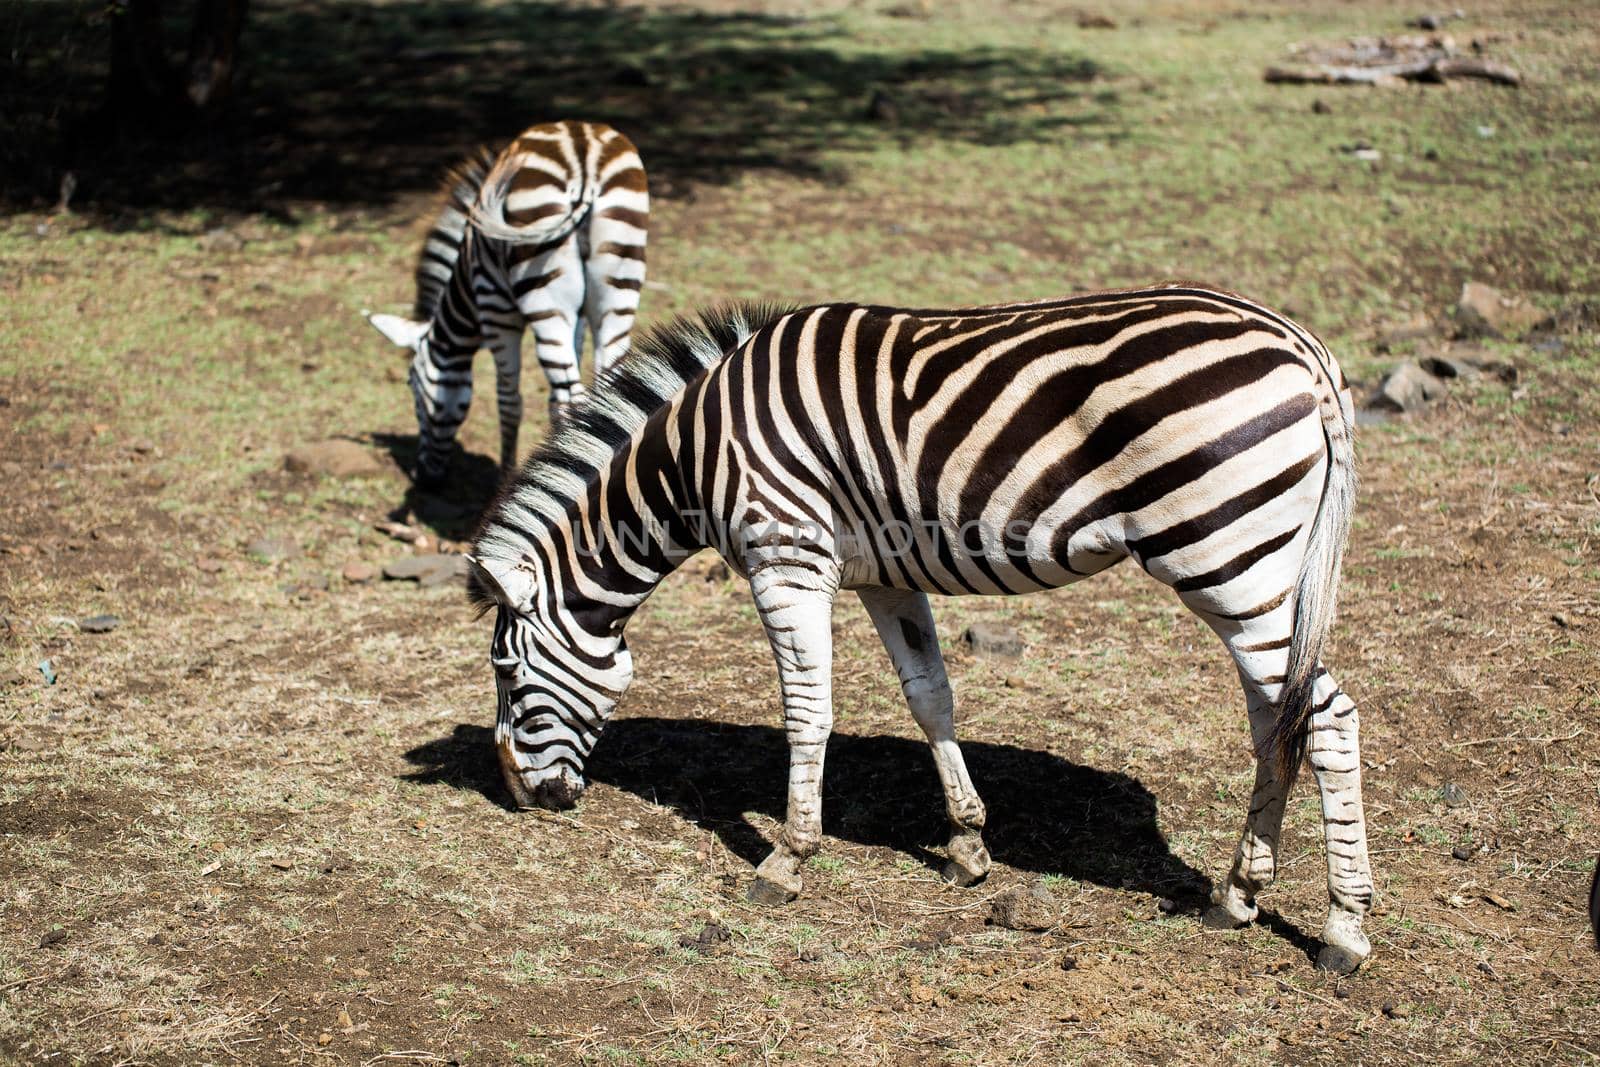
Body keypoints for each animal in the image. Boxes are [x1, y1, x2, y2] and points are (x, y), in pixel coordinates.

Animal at [368, 123, 649, 489]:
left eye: (412, 386)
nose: (424, 479)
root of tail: (584, 157)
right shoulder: (578, 319)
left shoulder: (495, 310)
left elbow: (508, 399)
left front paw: (507, 478)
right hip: (617, 288)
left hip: (543, 294)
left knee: (570, 400)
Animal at [467, 286, 1376, 979]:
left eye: (508, 674)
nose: (517, 796)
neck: (695, 456)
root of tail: (1303, 347)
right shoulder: (887, 573)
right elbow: (929, 695)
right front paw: (968, 845)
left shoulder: (785, 557)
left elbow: (808, 713)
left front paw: (787, 859)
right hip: (1262, 572)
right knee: (1279, 720)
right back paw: (1238, 896)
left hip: (1228, 558)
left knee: (1325, 718)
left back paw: (1343, 931)